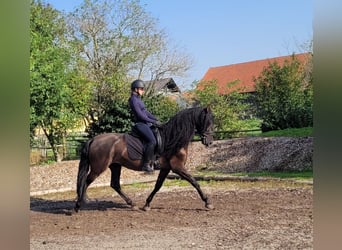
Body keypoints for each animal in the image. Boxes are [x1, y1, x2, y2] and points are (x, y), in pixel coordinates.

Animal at [75, 106, 214, 212]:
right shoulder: (177, 167)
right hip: (98, 168)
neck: (173, 139)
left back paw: (132, 204)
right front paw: (207, 202)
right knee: (86, 182)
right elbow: (194, 182)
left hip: (115, 166)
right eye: (207, 122)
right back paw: (78, 205)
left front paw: (147, 204)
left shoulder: (166, 168)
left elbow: (158, 186)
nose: (210, 141)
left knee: (114, 184)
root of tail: (94, 139)